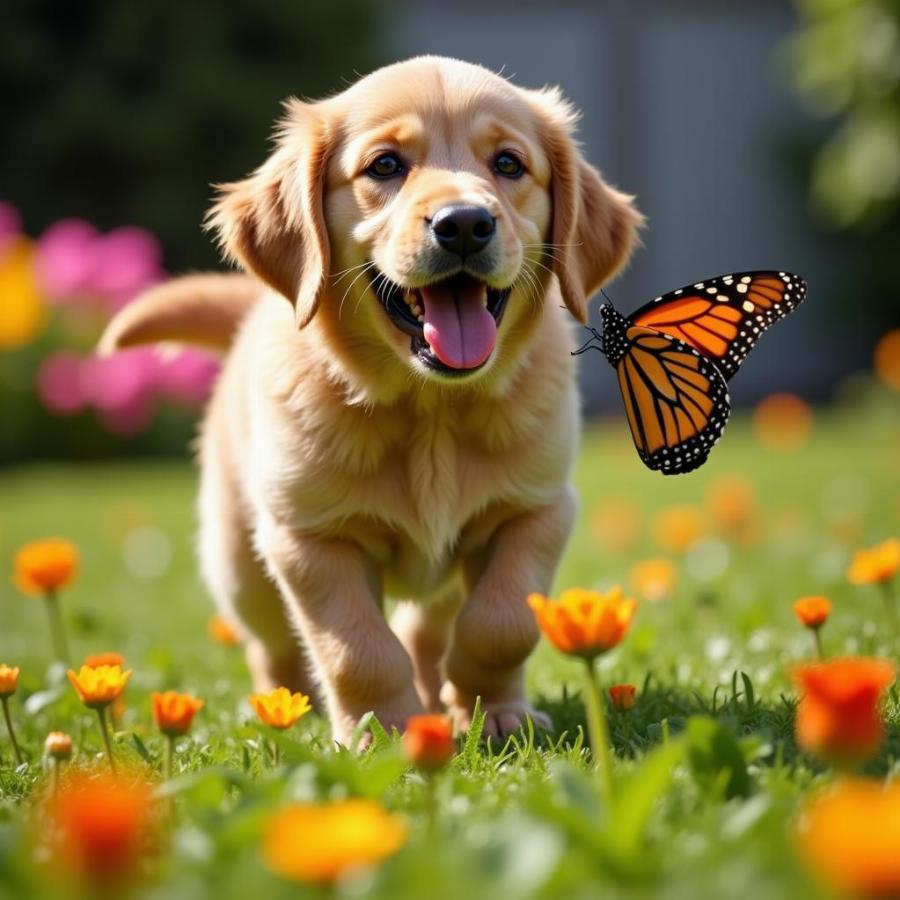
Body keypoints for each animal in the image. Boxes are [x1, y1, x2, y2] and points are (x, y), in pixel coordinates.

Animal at [102, 58, 644, 744]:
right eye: (385, 165)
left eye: (509, 164)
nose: (464, 224)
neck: (431, 409)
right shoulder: (310, 539)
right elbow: (357, 649)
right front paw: (381, 731)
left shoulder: (536, 512)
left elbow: (501, 623)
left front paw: (495, 712)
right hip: (239, 562)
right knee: (272, 646)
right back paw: (282, 708)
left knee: (425, 628)